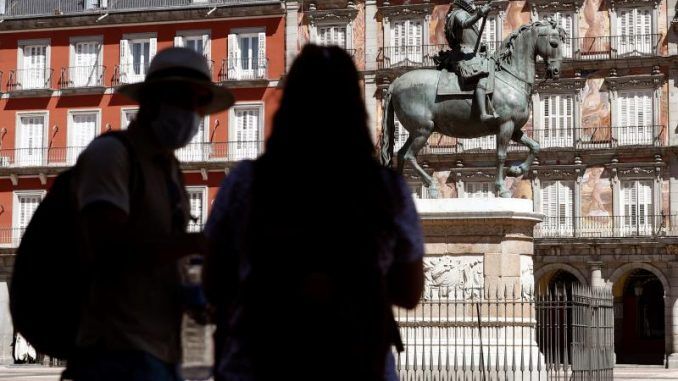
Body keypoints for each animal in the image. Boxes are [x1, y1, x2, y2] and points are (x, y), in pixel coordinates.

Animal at [382, 20, 568, 197]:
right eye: (553, 43)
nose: (555, 71)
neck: (511, 78)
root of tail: (395, 84)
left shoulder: (515, 129)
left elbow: (535, 147)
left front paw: (516, 170)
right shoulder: (506, 125)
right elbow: (501, 155)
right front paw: (502, 188)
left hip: (415, 130)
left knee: (400, 154)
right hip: (424, 128)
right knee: (409, 156)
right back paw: (433, 187)